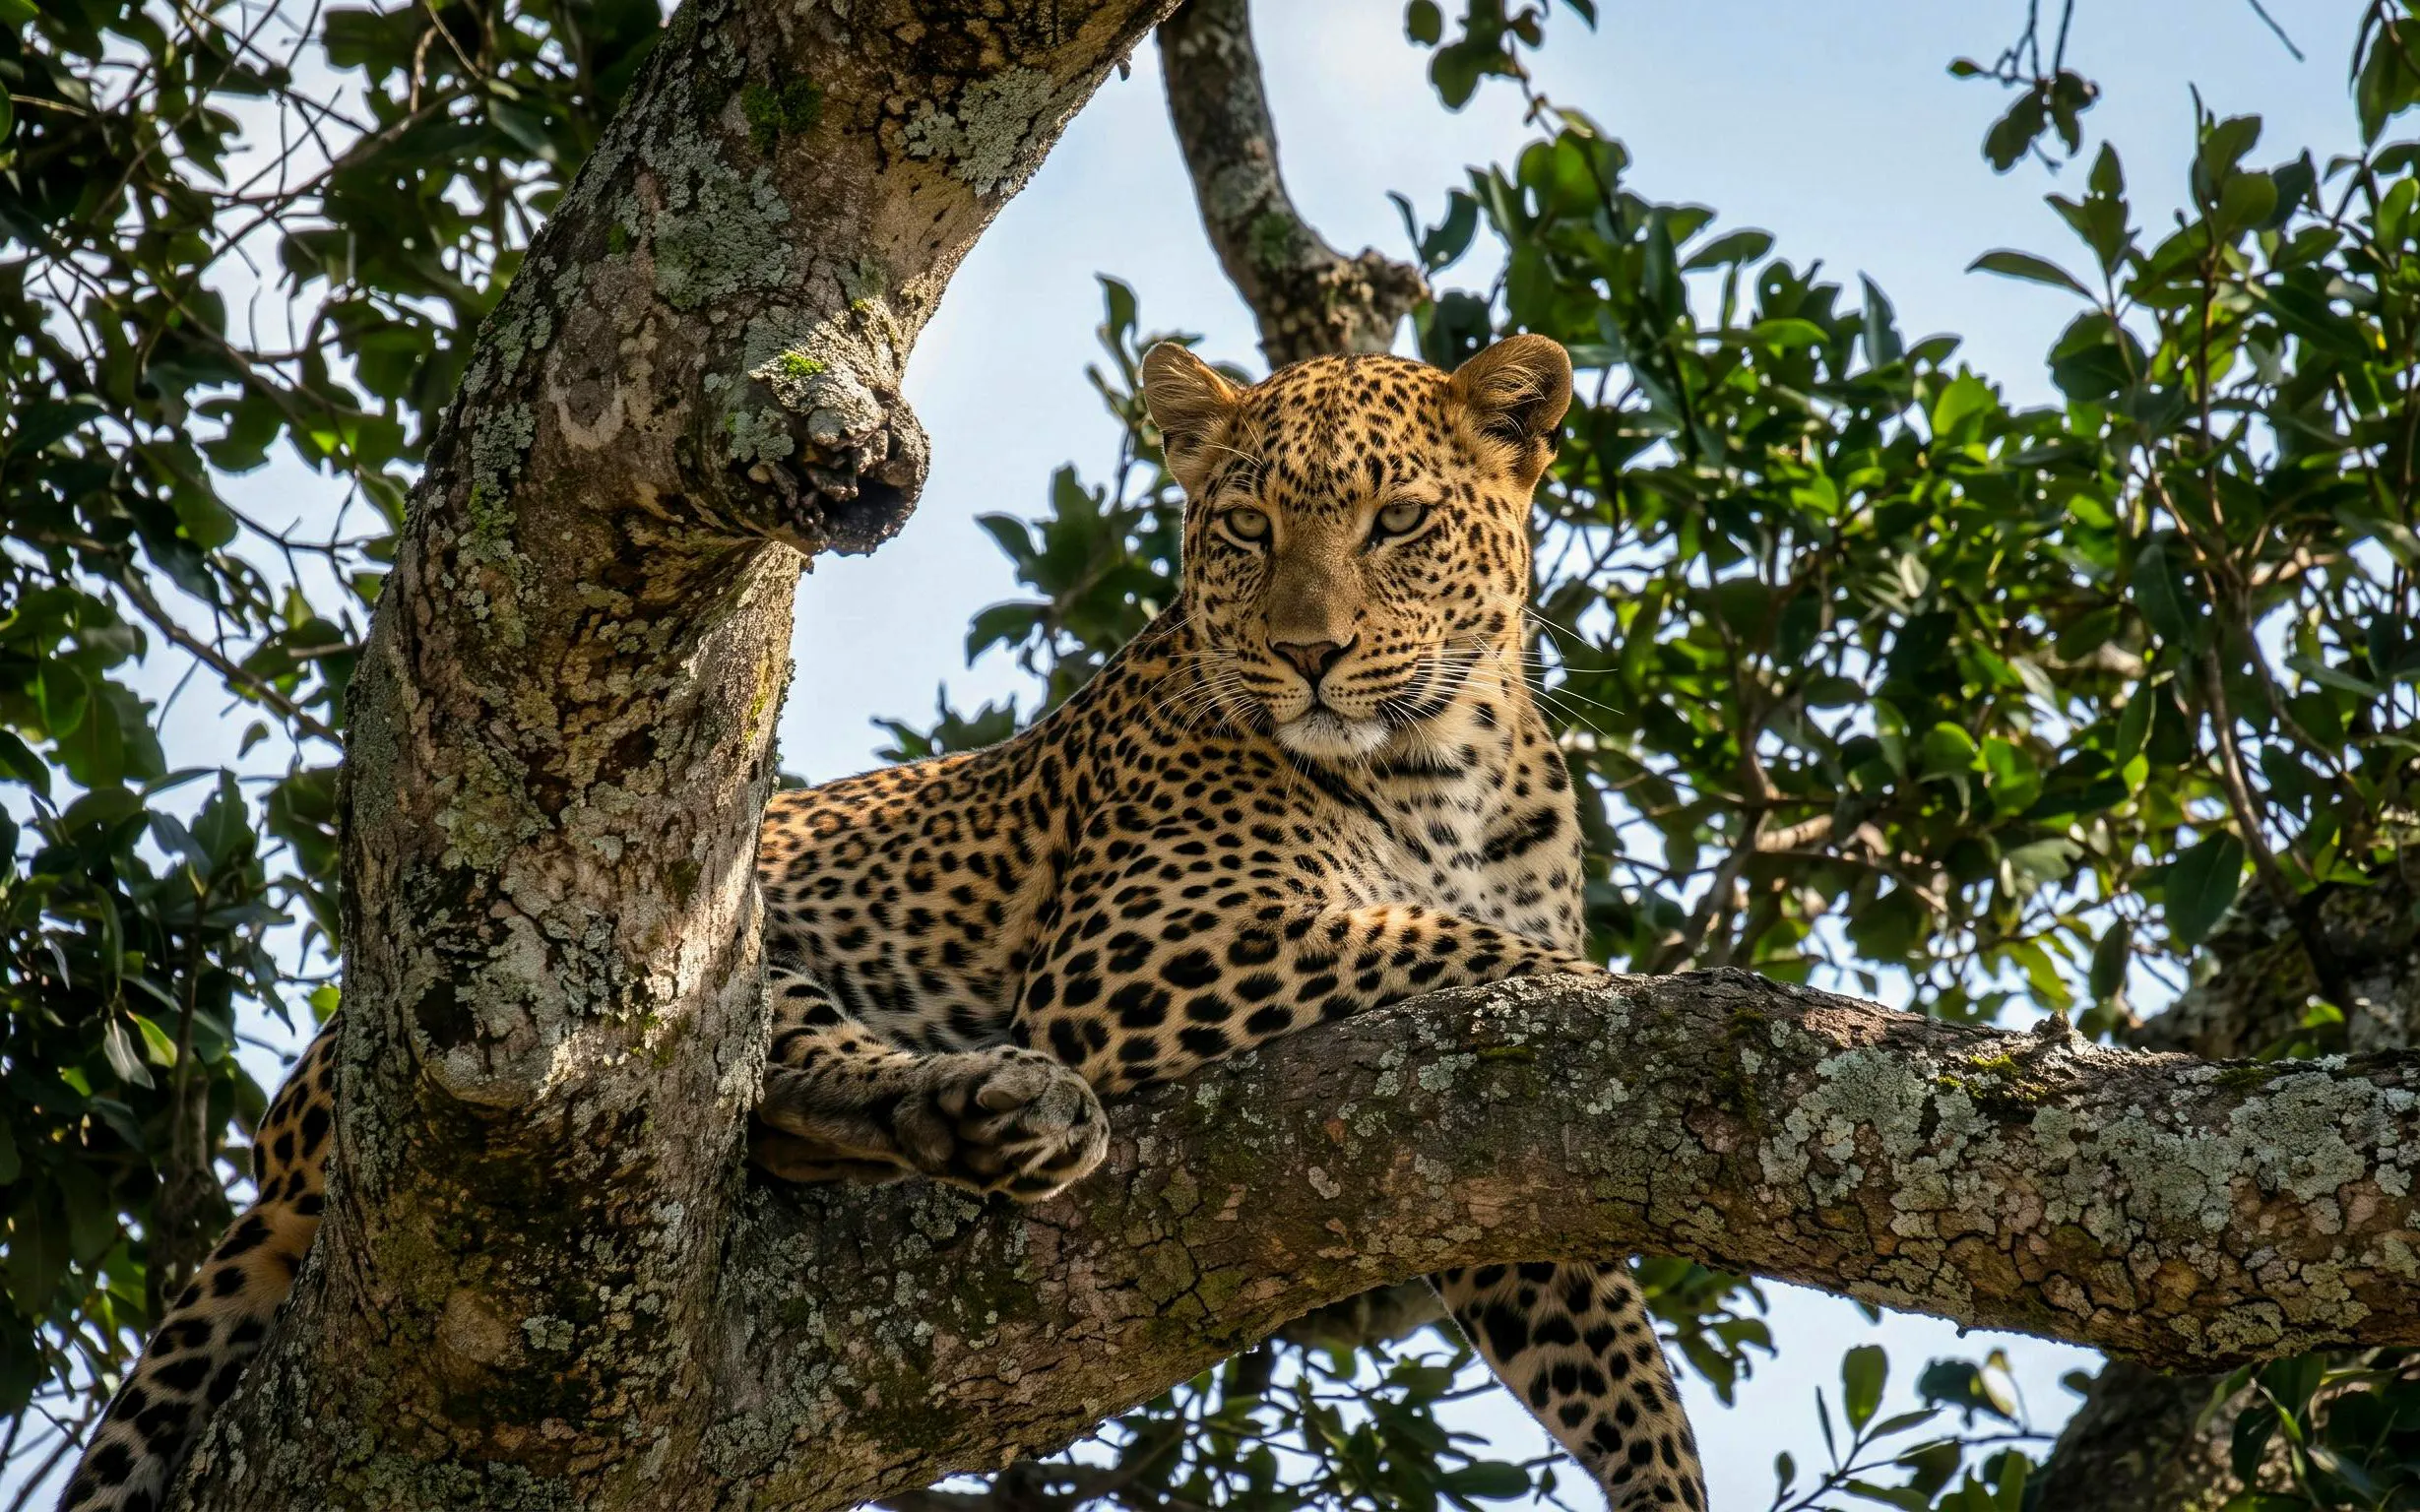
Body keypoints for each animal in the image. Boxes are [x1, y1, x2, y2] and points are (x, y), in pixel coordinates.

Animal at [60, 334, 1707, 1512]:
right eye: (1244, 529)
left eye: (1397, 523)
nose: (1306, 655)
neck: (1448, 762)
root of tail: (297, 1098)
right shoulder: (1144, 950)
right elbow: (1491, 958)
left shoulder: (1491, 1182)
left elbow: (1616, 1356)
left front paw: (1667, 1479)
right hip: (689, 955)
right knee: (775, 1084)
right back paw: (992, 1106)